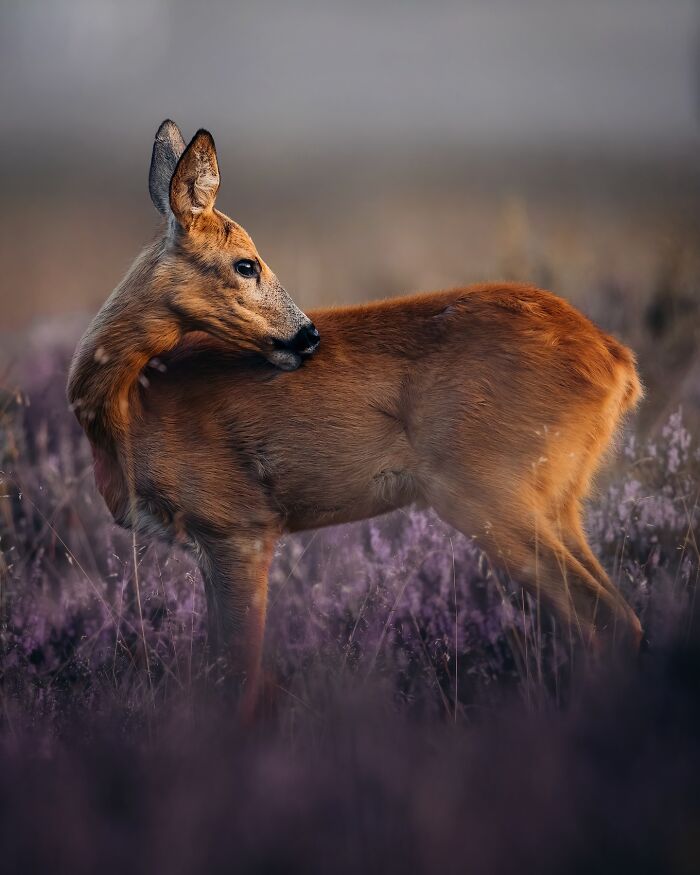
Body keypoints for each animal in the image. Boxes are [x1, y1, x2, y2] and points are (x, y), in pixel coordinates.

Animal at [68, 120, 643, 716]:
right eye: (245, 263)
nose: (308, 336)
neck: (133, 408)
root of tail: (617, 361)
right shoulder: (212, 544)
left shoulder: (240, 526)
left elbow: (240, 677)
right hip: (557, 500)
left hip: (487, 493)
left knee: (607, 618)